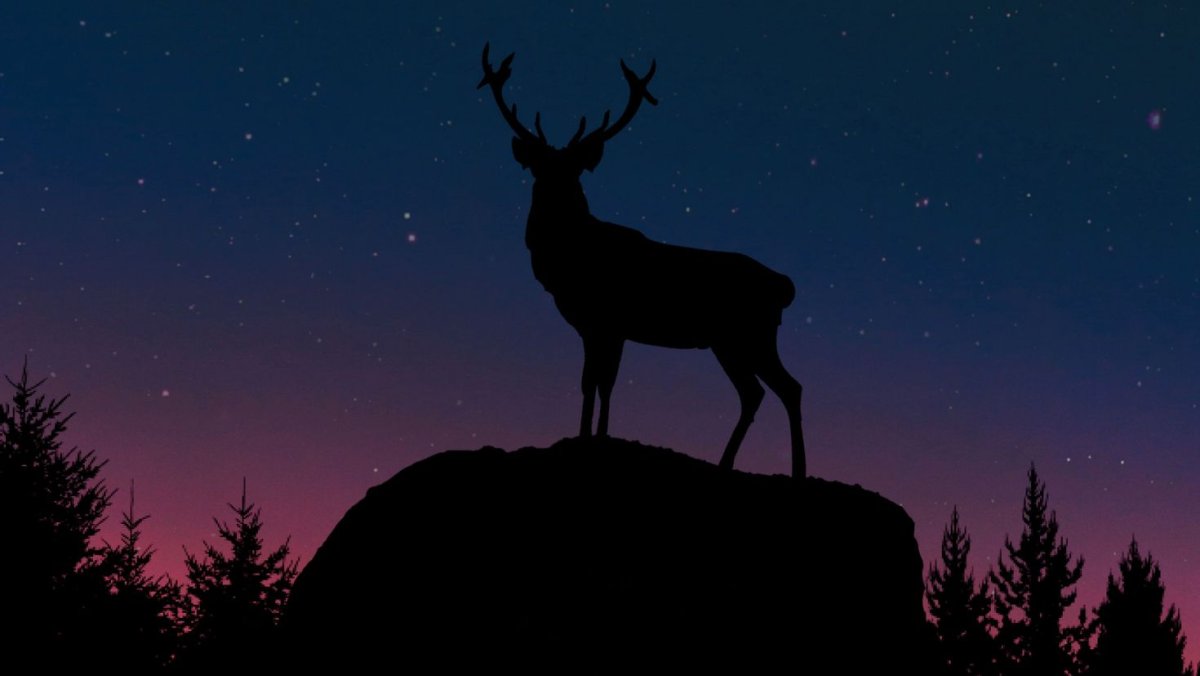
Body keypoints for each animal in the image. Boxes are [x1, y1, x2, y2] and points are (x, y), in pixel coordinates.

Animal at [478, 44, 807, 479]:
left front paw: (597, 438)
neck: (567, 264)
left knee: (788, 387)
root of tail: (784, 285)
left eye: (575, 171)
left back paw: (797, 470)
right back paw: (727, 463)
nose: (553, 198)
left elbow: (604, 382)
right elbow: (590, 381)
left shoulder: (611, 322)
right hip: (729, 342)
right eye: (539, 168)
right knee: (755, 392)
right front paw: (587, 434)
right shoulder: (591, 327)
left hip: (750, 333)